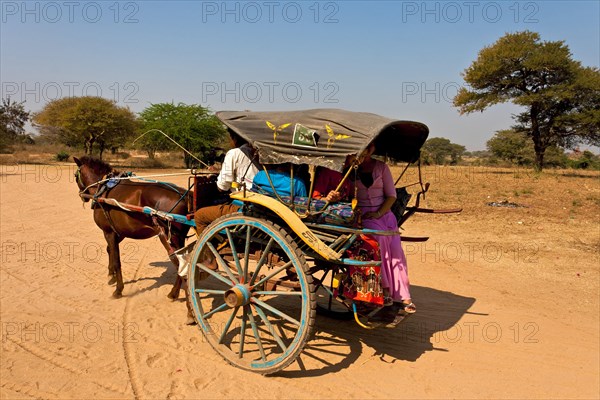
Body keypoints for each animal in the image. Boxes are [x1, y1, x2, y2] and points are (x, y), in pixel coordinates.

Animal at [73, 156, 192, 304]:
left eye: (75, 176)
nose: (82, 195)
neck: (103, 189)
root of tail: (184, 194)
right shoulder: (119, 232)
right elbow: (109, 250)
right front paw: (111, 276)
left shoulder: (109, 232)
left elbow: (117, 260)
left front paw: (118, 290)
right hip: (177, 238)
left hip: (168, 237)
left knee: (180, 264)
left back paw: (175, 293)